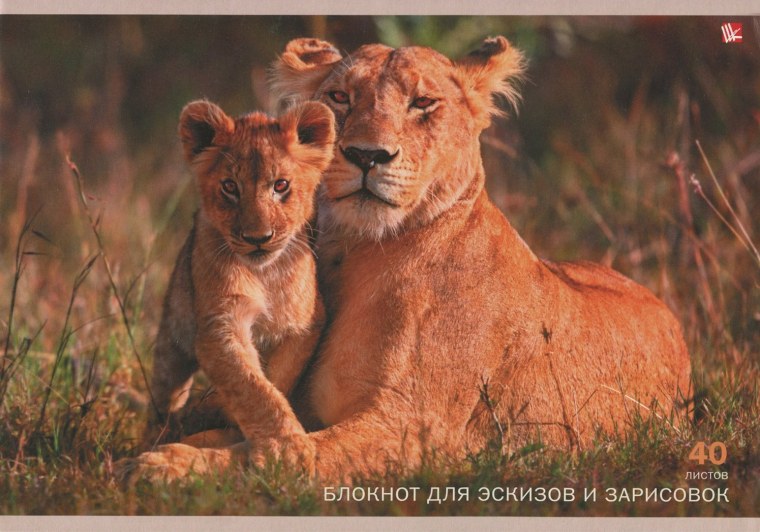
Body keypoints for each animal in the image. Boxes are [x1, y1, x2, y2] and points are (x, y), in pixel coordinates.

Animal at [142, 99, 334, 450]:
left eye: (281, 185)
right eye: (230, 187)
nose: (258, 238)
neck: (264, 274)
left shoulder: (305, 324)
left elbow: (275, 379)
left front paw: (222, 412)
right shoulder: (220, 325)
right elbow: (252, 387)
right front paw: (288, 447)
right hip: (172, 338)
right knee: (166, 393)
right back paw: (162, 430)